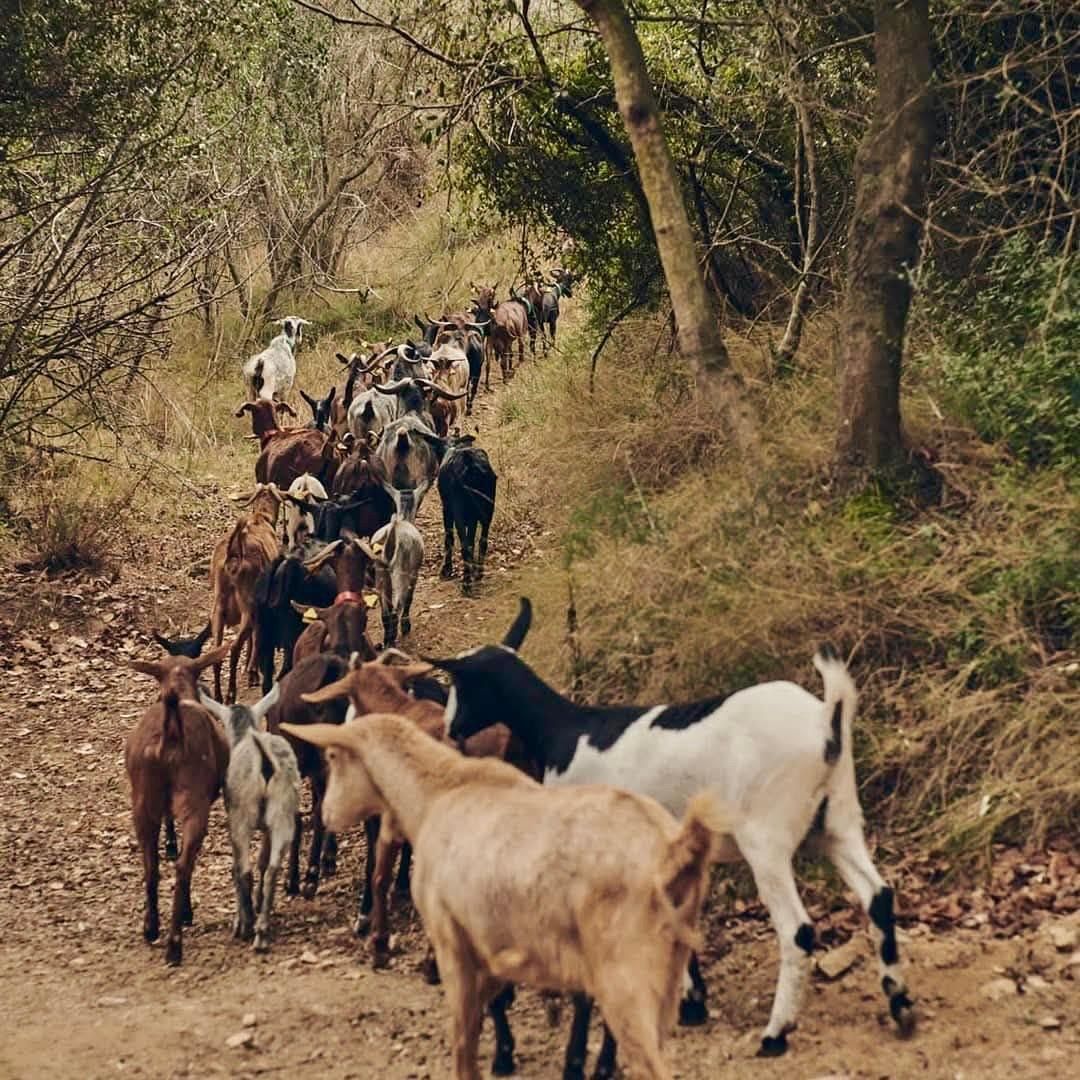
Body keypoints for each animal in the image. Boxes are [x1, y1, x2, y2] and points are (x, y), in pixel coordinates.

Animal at [128, 643, 234, 967]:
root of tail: (171, 736)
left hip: (143, 801)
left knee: (151, 866)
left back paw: (151, 929)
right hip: (194, 801)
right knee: (184, 864)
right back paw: (176, 941)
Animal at [209, 486, 282, 704]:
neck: (260, 518)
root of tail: (234, 555)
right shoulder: (261, 607)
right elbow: (256, 638)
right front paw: (252, 672)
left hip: (220, 607)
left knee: (216, 649)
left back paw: (218, 695)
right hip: (248, 607)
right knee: (235, 647)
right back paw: (231, 694)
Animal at [282, 708, 725, 1080]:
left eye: (334, 756)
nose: (327, 815)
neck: (434, 795)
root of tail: (673, 850)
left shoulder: (453, 940)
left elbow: (464, 1040)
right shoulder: (493, 944)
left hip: (626, 972)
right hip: (664, 977)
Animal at [356, 516, 419, 648]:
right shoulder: (414, 573)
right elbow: (409, 599)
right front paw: (406, 626)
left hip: (382, 574)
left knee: (385, 613)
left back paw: (386, 640)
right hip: (401, 573)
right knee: (397, 609)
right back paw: (393, 640)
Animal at [436, 434, 494, 596]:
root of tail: (471, 464)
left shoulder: (447, 510)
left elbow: (449, 538)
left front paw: (446, 570)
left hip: (460, 512)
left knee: (465, 546)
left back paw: (466, 584)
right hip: (488, 510)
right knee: (482, 542)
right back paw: (478, 574)